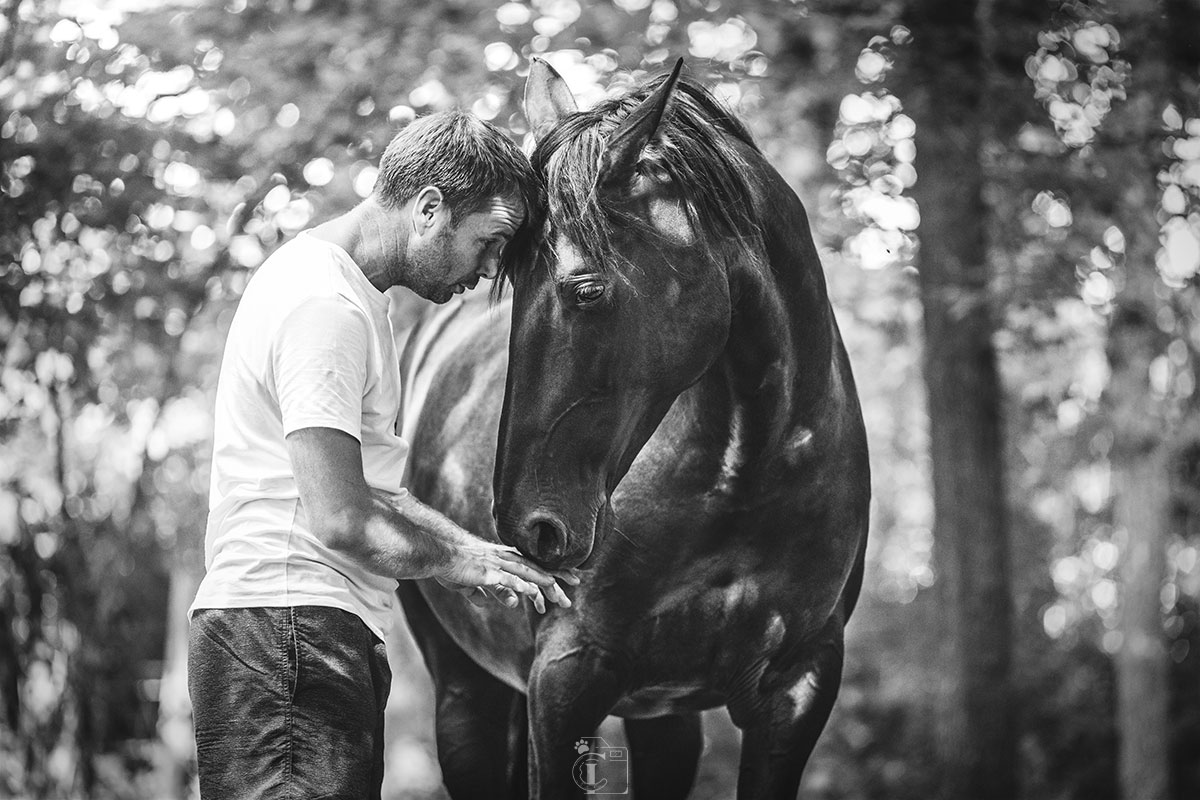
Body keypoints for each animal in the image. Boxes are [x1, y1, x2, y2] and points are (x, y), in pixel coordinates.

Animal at [398, 59, 868, 796]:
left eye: (587, 289)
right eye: (510, 284)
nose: (531, 528)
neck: (748, 474)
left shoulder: (799, 689)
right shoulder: (565, 679)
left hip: (663, 717)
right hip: (467, 694)